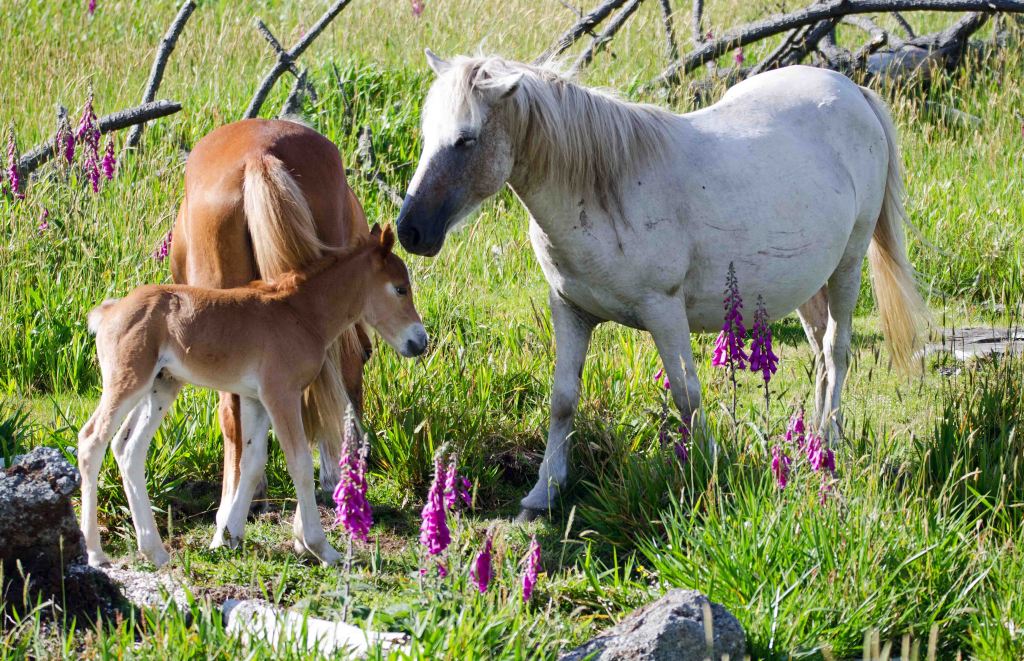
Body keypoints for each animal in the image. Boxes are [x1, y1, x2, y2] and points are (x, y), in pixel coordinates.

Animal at [79, 225, 428, 567]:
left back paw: (154, 551)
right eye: (400, 289)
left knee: (128, 449)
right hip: (128, 381)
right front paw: (322, 548)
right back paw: (95, 553)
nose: (419, 342)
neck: (301, 313)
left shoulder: (254, 399)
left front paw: (228, 536)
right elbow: (300, 463)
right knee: (91, 440)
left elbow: (252, 460)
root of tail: (109, 311)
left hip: (161, 386)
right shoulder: (281, 394)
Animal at [395, 52, 928, 518]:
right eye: (428, 133)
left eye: (466, 139)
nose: (410, 231)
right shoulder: (569, 309)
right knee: (819, 356)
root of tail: (853, 92)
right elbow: (563, 399)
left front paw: (712, 470)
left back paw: (829, 449)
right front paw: (544, 492)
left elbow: (687, 395)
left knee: (837, 352)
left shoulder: (664, 311)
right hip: (809, 283)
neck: (602, 191)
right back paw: (811, 444)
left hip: (848, 267)